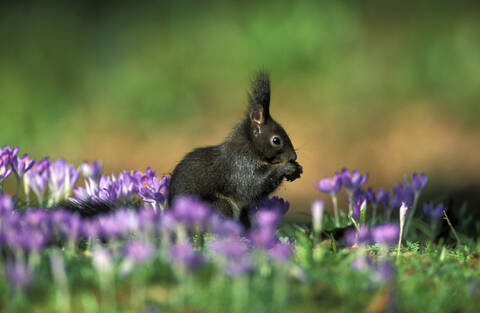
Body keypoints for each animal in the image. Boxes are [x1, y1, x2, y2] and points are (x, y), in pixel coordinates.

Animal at [169, 70, 302, 222]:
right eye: (276, 140)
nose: (294, 156)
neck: (249, 147)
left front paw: (297, 168)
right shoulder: (239, 166)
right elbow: (252, 186)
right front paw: (286, 168)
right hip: (219, 206)